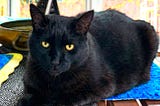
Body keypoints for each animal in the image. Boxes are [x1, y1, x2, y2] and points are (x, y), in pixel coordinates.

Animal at [17, 3, 159, 105]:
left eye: (69, 46)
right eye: (45, 44)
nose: (55, 62)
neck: (54, 81)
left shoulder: (103, 87)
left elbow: (66, 99)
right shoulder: (28, 80)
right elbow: (29, 95)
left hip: (151, 32)